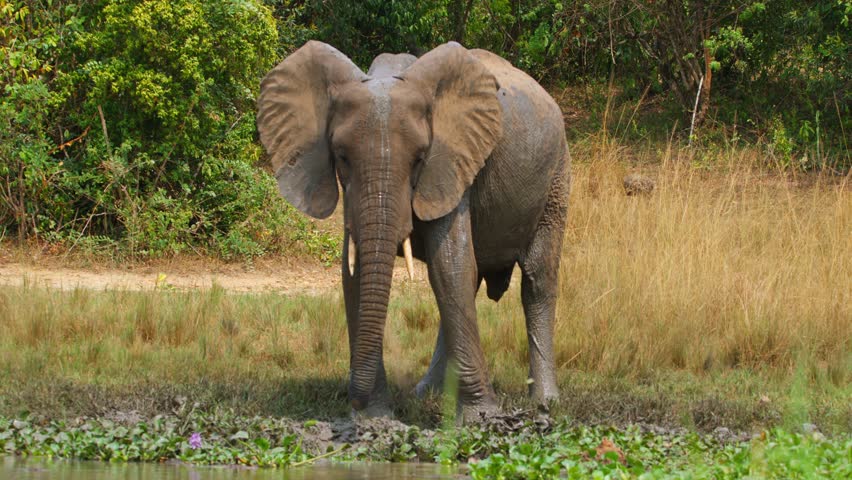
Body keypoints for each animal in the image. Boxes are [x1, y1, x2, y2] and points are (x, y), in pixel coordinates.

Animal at [257, 41, 570, 421]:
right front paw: (376, 418)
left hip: (557, 174)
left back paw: (545, 402)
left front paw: (482, 418)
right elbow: (357, 274)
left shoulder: (452, 163)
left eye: (420, 158)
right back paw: (427, 393)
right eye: (341, 157)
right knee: (467, 284)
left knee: (537, 280)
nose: (352, 399)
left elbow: (451, 265)